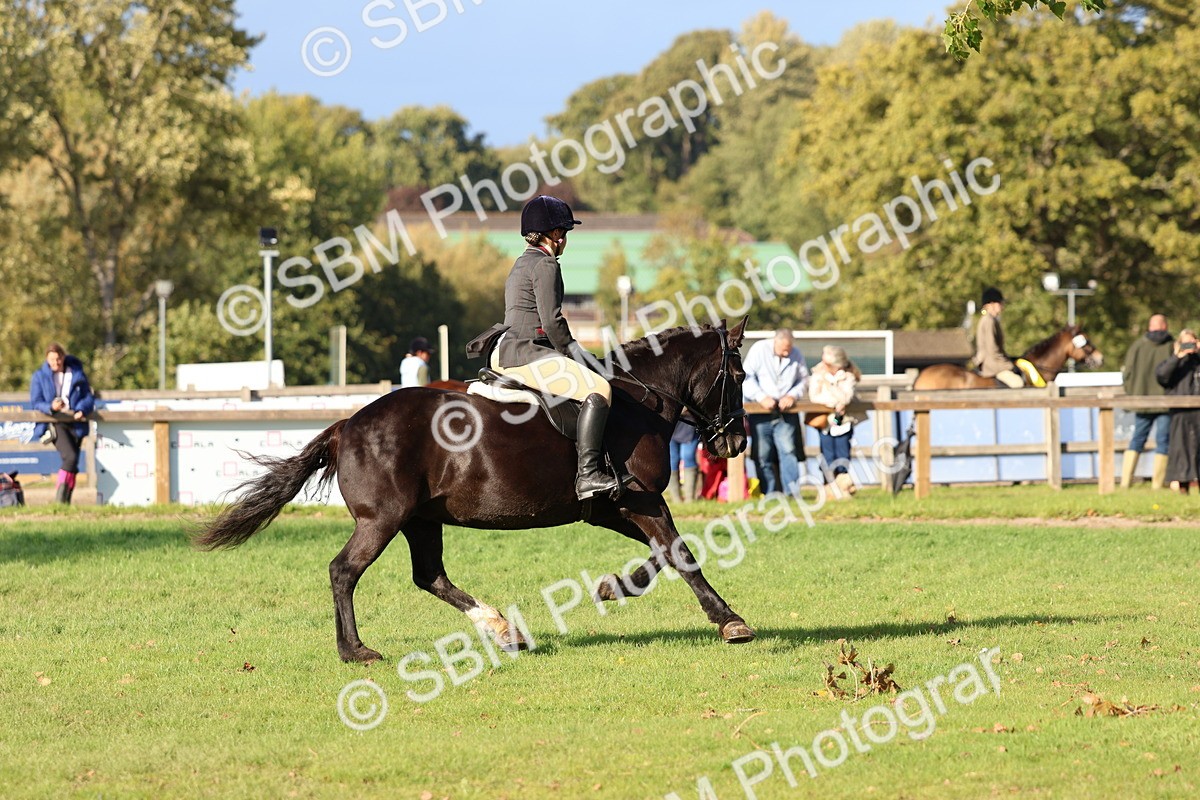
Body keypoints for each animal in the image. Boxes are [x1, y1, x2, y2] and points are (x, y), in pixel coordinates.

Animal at [195, 320, 755, 662]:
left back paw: (503, 629)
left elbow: (666, 553)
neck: (639, 402)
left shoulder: (612, 507)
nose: (736, 442)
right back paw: (356, 651)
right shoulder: (637, 499)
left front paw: (614, 586)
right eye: (739, 374)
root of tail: (347, 425)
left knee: (429, 576)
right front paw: (730, 622)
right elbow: (681, 552)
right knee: (344, 571)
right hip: (384, 520)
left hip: (421, 521)